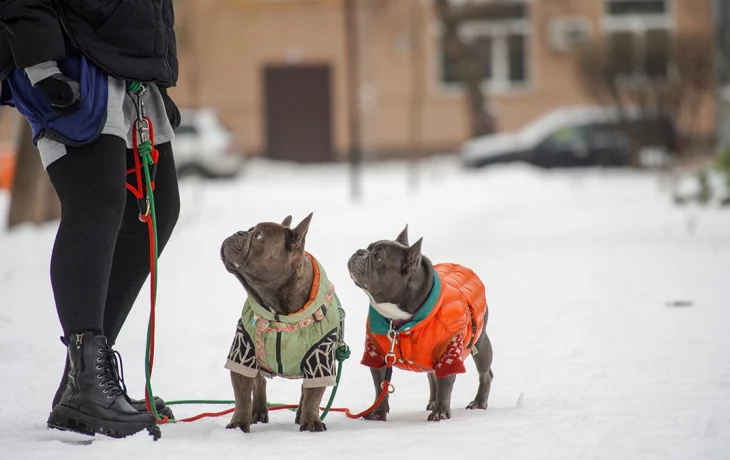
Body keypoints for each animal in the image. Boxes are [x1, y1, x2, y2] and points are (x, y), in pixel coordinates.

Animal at [346, 225, 492, 422]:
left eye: (377, 256)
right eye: (368, 248)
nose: (360, 251)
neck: (398, 321)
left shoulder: (449, 353)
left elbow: (446, 383)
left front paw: (440, 412)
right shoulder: (376, 353)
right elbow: (380, 386)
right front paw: (378, 412)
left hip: (480, 343)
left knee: (485, 374)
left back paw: (478, 402)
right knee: (432, 376)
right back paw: (432, 401)